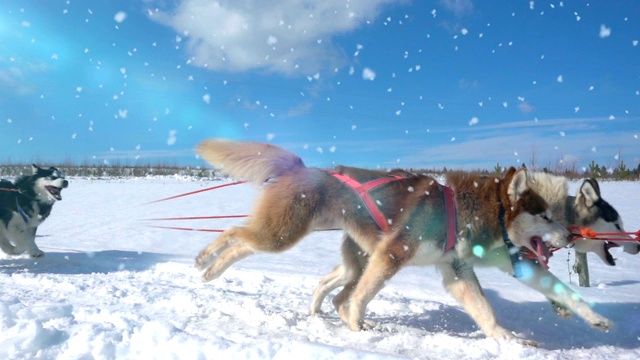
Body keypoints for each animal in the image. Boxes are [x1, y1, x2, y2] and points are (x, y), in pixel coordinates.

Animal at [192, 139, 608, 344]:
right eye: (544, 215)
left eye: (557, 213)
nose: (571, 235)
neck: (462, 209)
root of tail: (303, 167)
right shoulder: (394, 254)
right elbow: (362, 298)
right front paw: (355, 325)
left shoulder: (458, 270)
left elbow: (488, 309)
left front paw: (507, 339)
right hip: (284, 235)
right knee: (236, 235)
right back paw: (206, 263)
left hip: (347, 256)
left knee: (321, 279)